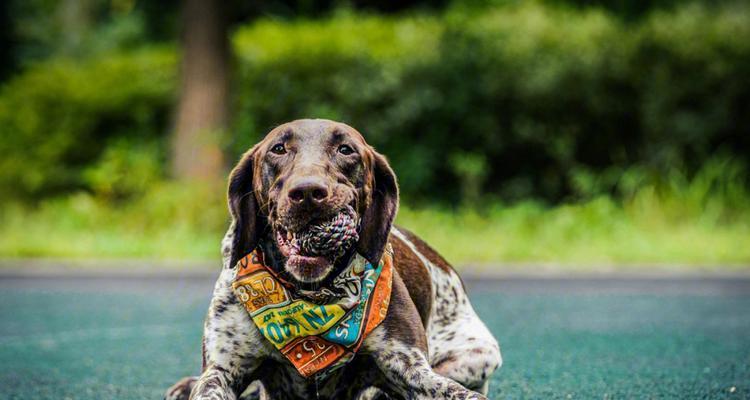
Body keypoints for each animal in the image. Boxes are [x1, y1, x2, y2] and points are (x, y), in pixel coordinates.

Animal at [167, 119, 502, 400]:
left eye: (346, 150)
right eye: (278, 148)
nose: (308, 192)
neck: (311, 295)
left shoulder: (410, 366)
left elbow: (454, 391)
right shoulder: (223, 369)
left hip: (479, 355)